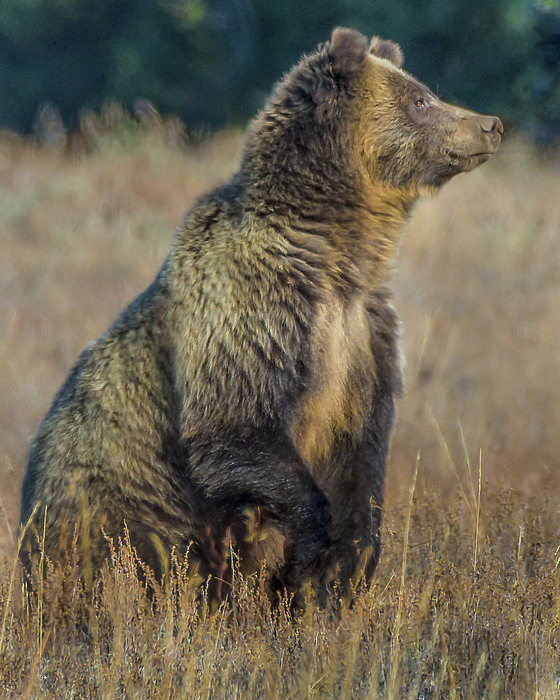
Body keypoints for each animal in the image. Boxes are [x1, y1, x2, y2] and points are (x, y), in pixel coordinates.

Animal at [20, 26, 504, 596]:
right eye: (421, 99)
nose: (490, 124)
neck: (339, 253)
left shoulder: (365, 334)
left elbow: (363, 455)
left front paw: (347, 563)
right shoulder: (258, 309)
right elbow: (236, 423)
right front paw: (308, 554)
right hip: (108, 502)